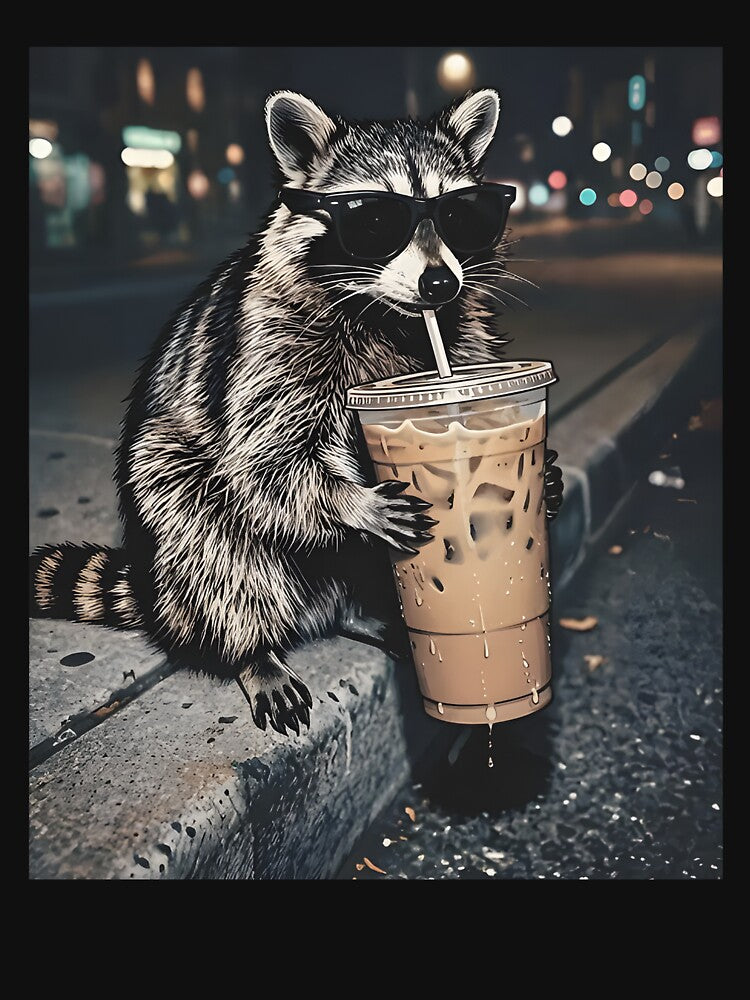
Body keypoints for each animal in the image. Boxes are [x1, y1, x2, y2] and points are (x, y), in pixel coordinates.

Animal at [30, 89, 563, 736]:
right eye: (375, 221)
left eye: (461, 215)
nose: (439, 284)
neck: (391, 316)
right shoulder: (271, 344)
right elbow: (264, 458)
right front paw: (351, 501)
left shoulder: (461, 335)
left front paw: (547, 474)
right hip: (172, 494)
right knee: (214, 543)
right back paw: (251, 649)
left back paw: (360, 610)